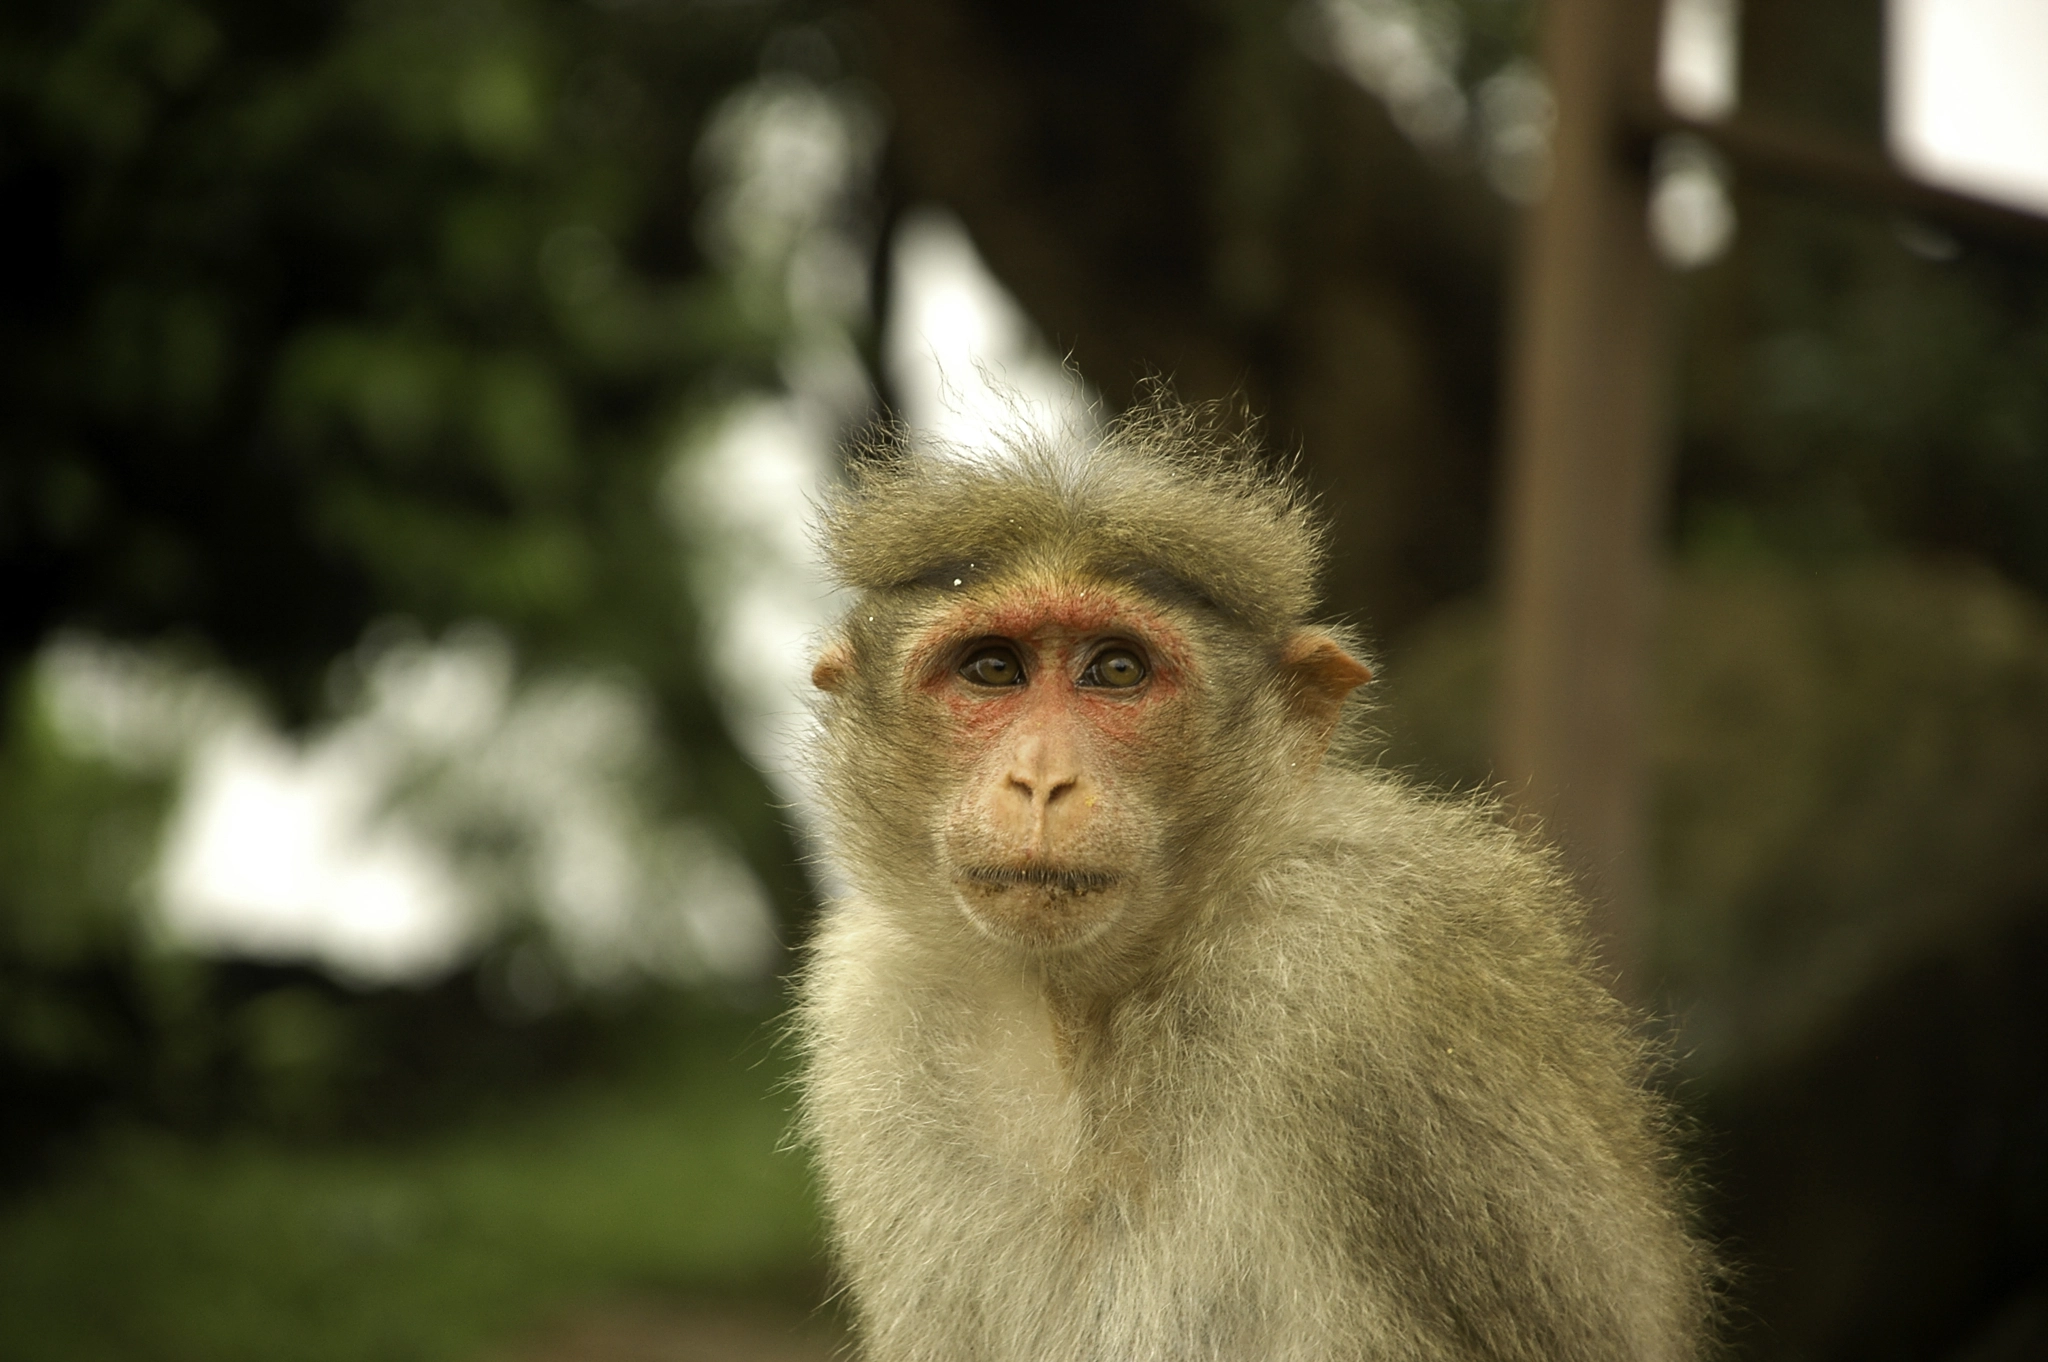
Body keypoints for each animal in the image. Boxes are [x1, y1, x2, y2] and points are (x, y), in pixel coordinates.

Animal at [795, 401, 1711, 1362]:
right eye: (992, 669)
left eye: (1117, 670)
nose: (1041, 781)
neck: (1087, 1010)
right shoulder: (873, 1000)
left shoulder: (1369, 955)